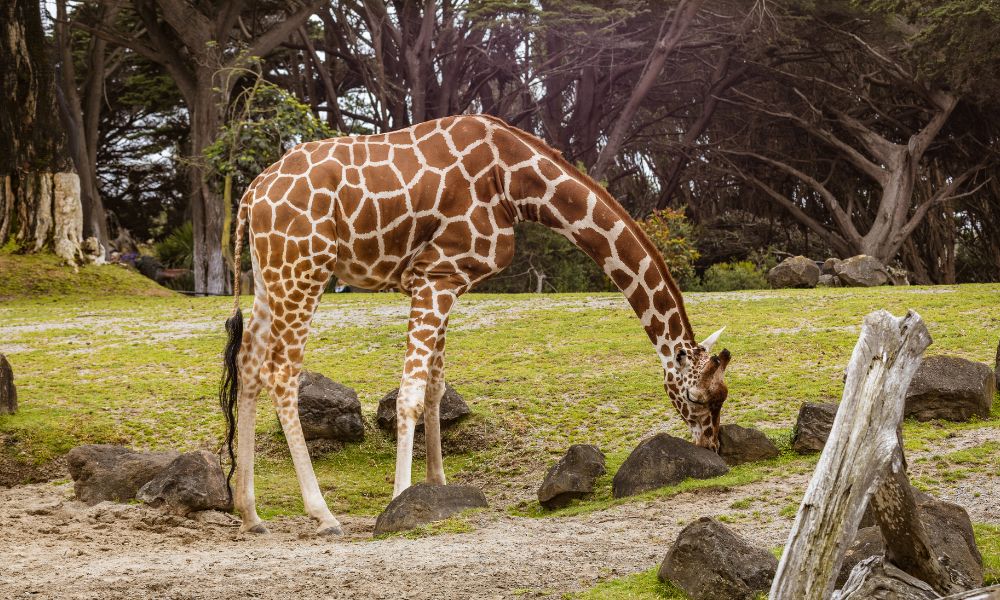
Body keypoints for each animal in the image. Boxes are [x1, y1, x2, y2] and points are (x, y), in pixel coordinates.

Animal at [218, 114, 731, 535]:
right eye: (695, 397)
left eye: (723, 397)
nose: (713, 446)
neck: (516, 183)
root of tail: (249, 196)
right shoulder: (437, 273)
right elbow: (409, 394)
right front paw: (398, 501)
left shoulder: (448, 282)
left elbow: (434, 390)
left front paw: (436, 489)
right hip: (304, 269)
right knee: (281, 374)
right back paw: (322, 514)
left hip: (269, 277)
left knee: (248, 367)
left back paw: (250, 513)